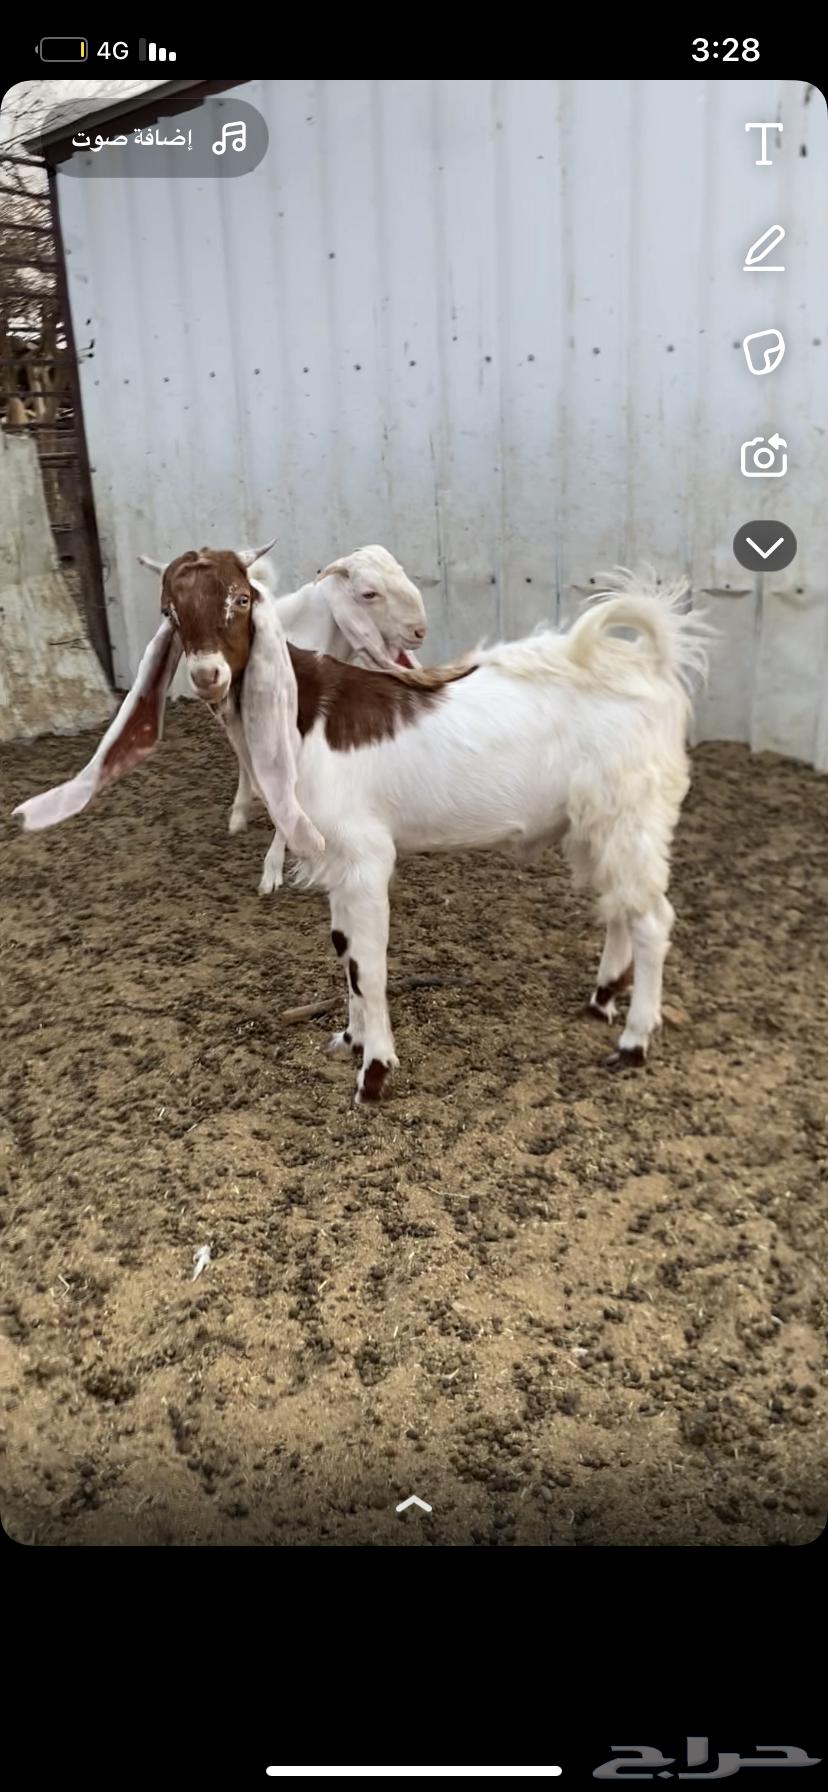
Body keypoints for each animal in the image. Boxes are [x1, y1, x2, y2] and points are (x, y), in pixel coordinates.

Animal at [14, 552, 710, 1107]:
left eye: (241, 599)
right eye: (171, 611)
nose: (208, 674)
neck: (304, 713)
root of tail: (649, 664)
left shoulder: (365, 856)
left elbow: (369, 965)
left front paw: (374, 1073)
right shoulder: (334, 863)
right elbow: (345, 950)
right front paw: (348, 1039)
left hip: (633, 812)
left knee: (653, 919)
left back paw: (634, 1041)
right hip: (594, 823)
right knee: (621, 906)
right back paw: (602, 997)